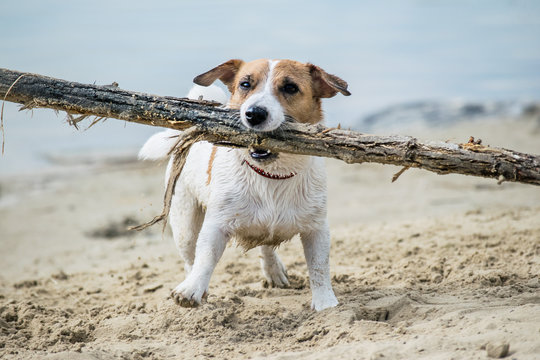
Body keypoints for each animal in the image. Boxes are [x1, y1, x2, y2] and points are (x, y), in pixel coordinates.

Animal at [139, 59, 350, 312]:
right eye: (245, 84)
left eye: (290, 88)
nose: (254, 114)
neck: (271, 175)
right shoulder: (217, 225)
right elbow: (206, 257)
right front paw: (192, 289)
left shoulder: (316, 228)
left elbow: (319, 267)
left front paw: (326, 303)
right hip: (185, 223)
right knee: (190, 257)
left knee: (266, 245)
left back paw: (273, 271)